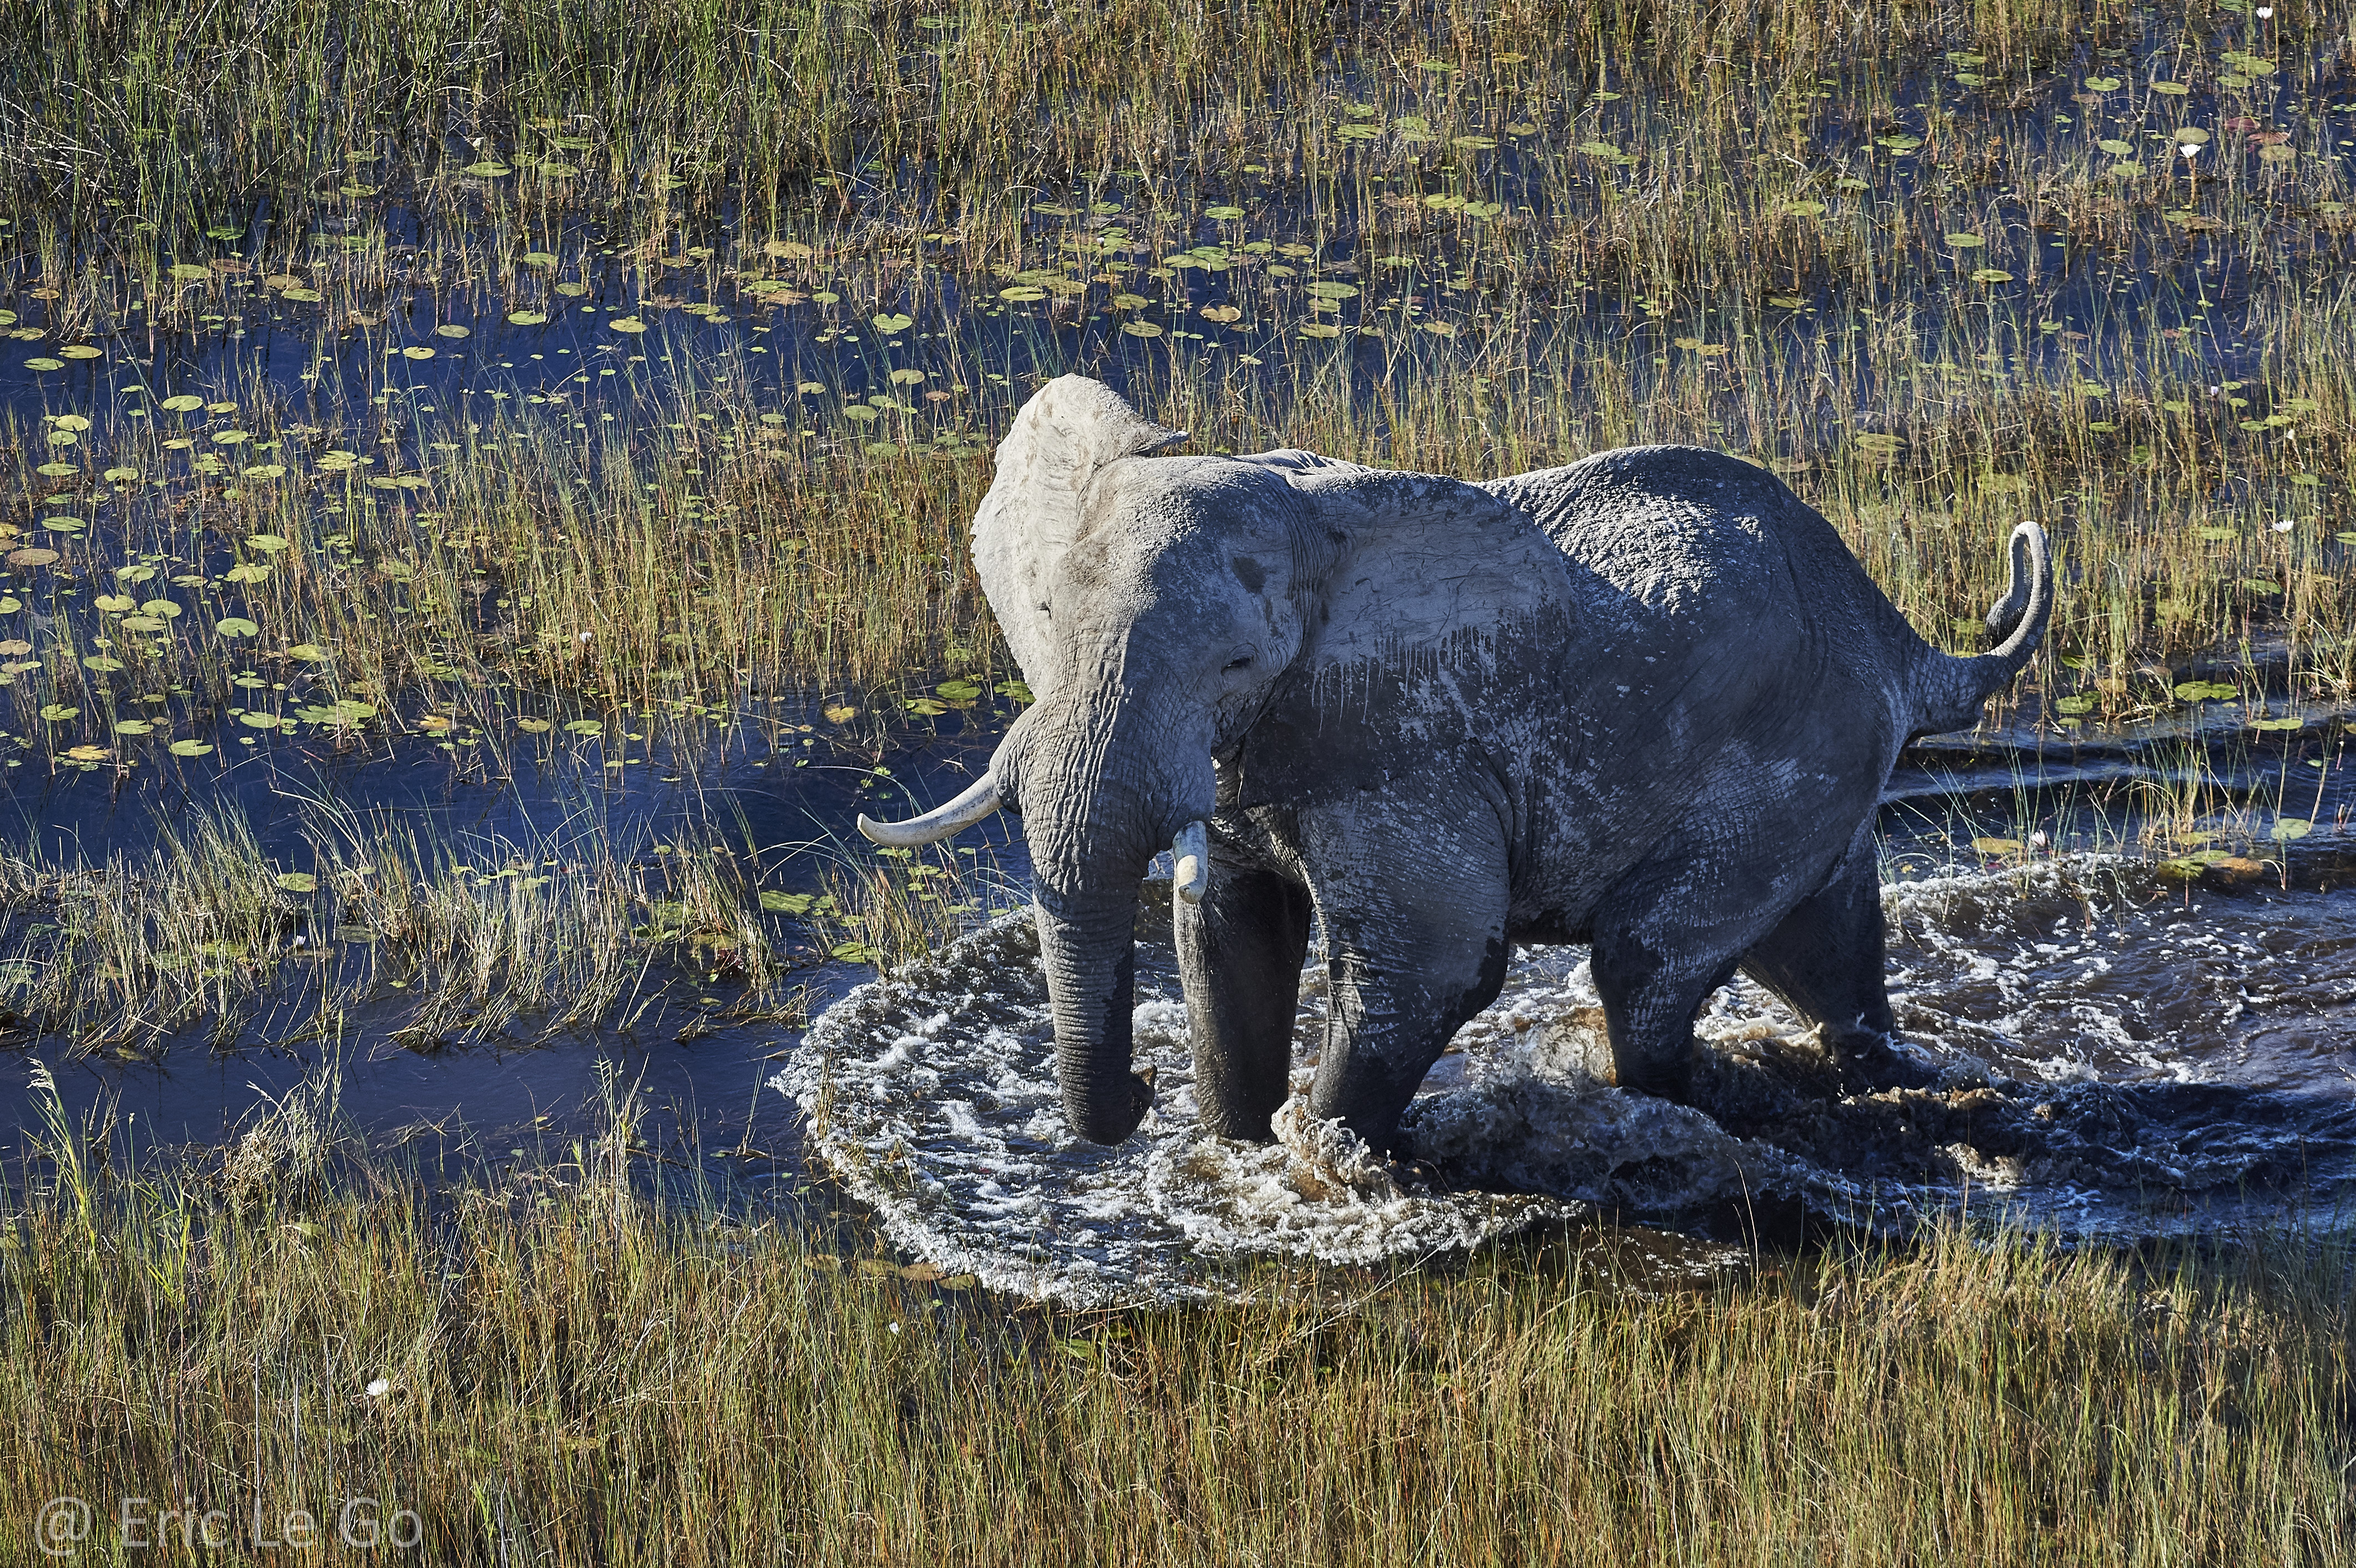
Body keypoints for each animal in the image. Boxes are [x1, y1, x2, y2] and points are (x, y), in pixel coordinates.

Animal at [859, 375, 2051, 1155]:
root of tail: (1901, 640)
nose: (1141, 1086)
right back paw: (1881, 1076)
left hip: (1784, 760)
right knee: (1828, 958)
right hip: (1821, 763)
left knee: (1647, 964)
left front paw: (1320, 1169)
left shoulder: (1403, 746)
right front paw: (1232, 1151)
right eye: (1047, 622)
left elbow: (1427, 964)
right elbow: (1230, 935)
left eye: (1235, 661)